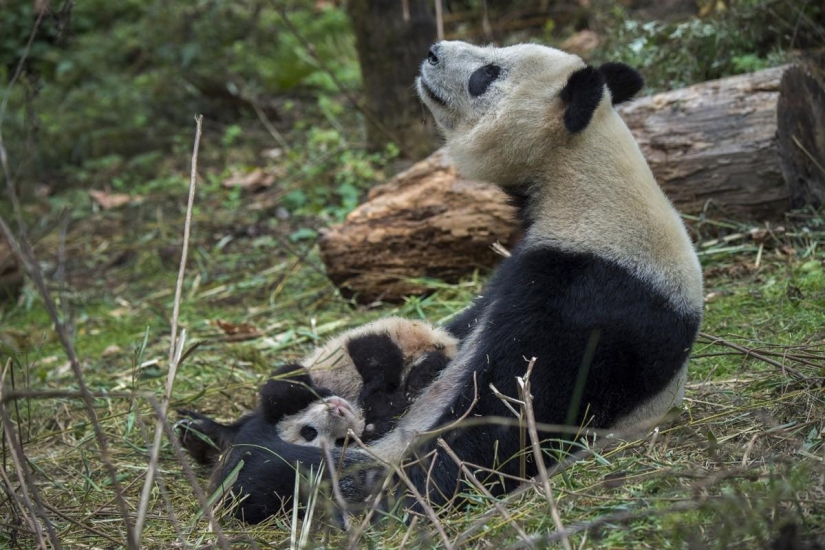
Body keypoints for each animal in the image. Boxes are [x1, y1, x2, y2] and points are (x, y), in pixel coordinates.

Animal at [202, 40, 704, 521]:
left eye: (487, 74)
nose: (432, 52)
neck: (583, 181)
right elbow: (456, 334)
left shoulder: (589, 296)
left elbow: (510, 415)